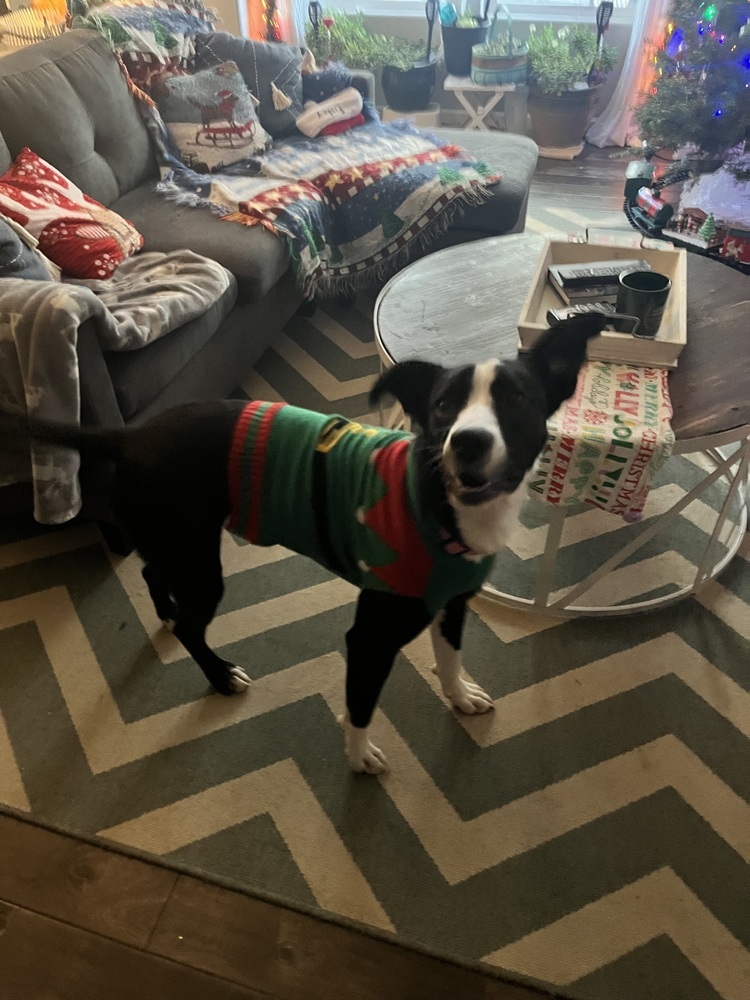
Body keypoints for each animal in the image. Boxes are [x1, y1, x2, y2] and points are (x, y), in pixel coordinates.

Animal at [1, 312, 604, 772]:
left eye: (518, 399)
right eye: (440, 407)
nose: (469, 442)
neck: (441, 506)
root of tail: (129, 433)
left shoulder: (453, 603)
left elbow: (450, 657)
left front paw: (458, 697)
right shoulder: (370, 637)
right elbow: (360, 702)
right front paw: (359, 757)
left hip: (175, 543)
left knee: (154, 573)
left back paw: (168, 615)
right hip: (199, 563)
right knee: (195, 626)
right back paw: (220, 676)